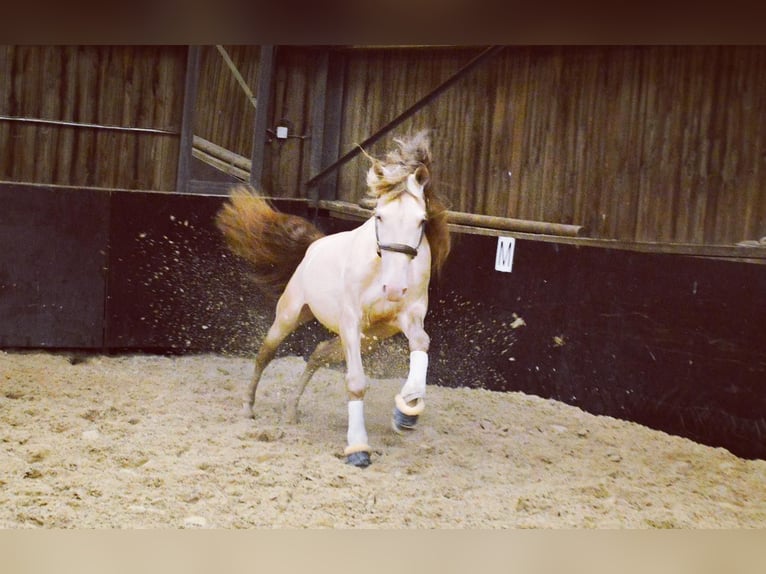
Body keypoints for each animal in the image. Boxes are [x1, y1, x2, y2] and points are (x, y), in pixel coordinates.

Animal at [215, 131, 450, 467]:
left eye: (421, 221)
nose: (393, 289)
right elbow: (355, 382)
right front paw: (358, 448)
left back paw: (291, 412)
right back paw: (248, 407)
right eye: (380, 216)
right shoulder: (351, 319)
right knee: (265, 353)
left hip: (369, 338)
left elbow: (421, 342)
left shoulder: (407, 316)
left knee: (317, 354)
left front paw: (406, 412)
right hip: (290, 315)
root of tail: (314, 245)